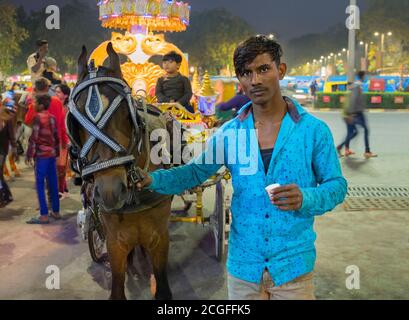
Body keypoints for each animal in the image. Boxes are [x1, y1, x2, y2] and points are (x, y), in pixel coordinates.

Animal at [66, 42, 174, 300]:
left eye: (126, 113)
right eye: (76, 121)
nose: (110, 190)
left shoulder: (160, 238)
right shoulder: (115, 241)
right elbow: (117, 285)